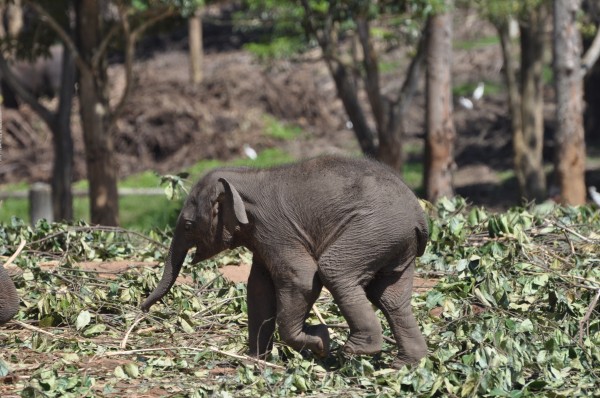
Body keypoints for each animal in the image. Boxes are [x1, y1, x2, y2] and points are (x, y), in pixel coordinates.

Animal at [142, 155, 428, 366]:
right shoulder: (261, 238)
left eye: (189, 225)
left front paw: (321, 342)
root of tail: (419, 216)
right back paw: (406, 364)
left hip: (375, 230)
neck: (244, 176)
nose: (142, 309)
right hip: (395, 243)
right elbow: (259, 288)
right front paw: (255, 362)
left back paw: (356, 350)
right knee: (390, 297)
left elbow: (301, 277)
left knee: (335, 270)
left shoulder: (274, 229)